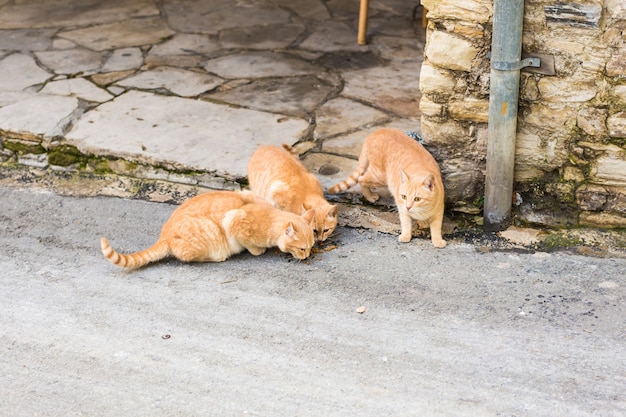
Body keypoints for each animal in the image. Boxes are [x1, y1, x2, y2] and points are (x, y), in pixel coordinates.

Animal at [100, 188, 314, 266]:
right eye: (303, 248)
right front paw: (257, 250)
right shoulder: (233, 220)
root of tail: (164, 236)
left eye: (312, 247)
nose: (307, 256)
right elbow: (250, 244)